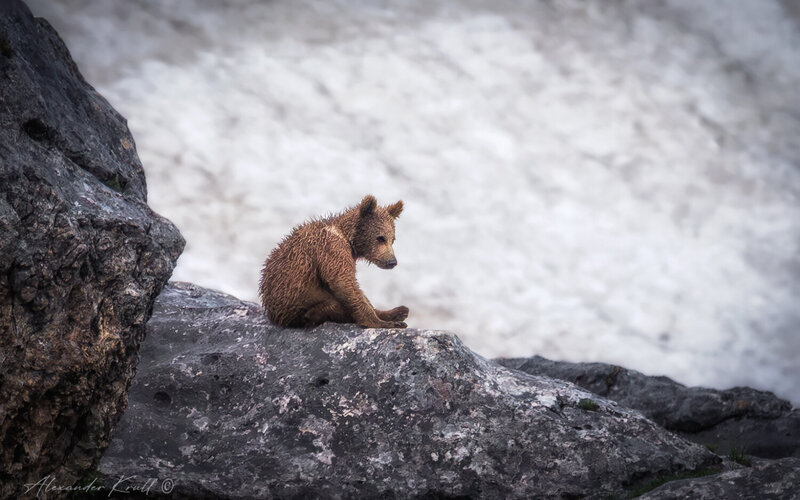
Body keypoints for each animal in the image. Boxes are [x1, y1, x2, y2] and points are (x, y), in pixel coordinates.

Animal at [259, 195, 409, 329]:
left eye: (393, 240)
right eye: (380, 238)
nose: (392, 262)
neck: (347, 238)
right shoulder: (331, 249)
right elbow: (344, 282)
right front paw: (381, 322)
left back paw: (399, 311)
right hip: (295, 307)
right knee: (330, 307)